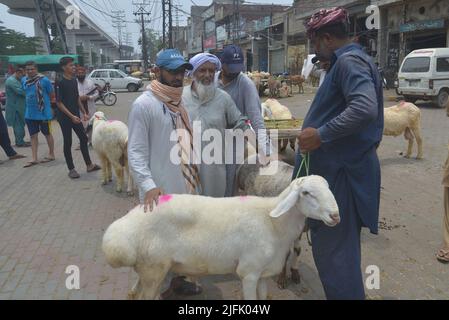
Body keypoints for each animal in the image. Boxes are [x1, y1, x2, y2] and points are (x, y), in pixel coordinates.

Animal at [102, 175, 340, 300]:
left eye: (329, 187)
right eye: (306, 193)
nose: (335, 216)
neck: (273, 221)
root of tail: (122, 229)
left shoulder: (263, 272)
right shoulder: (249, 272)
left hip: (146, 269)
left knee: (133, 294)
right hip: (154, 269)